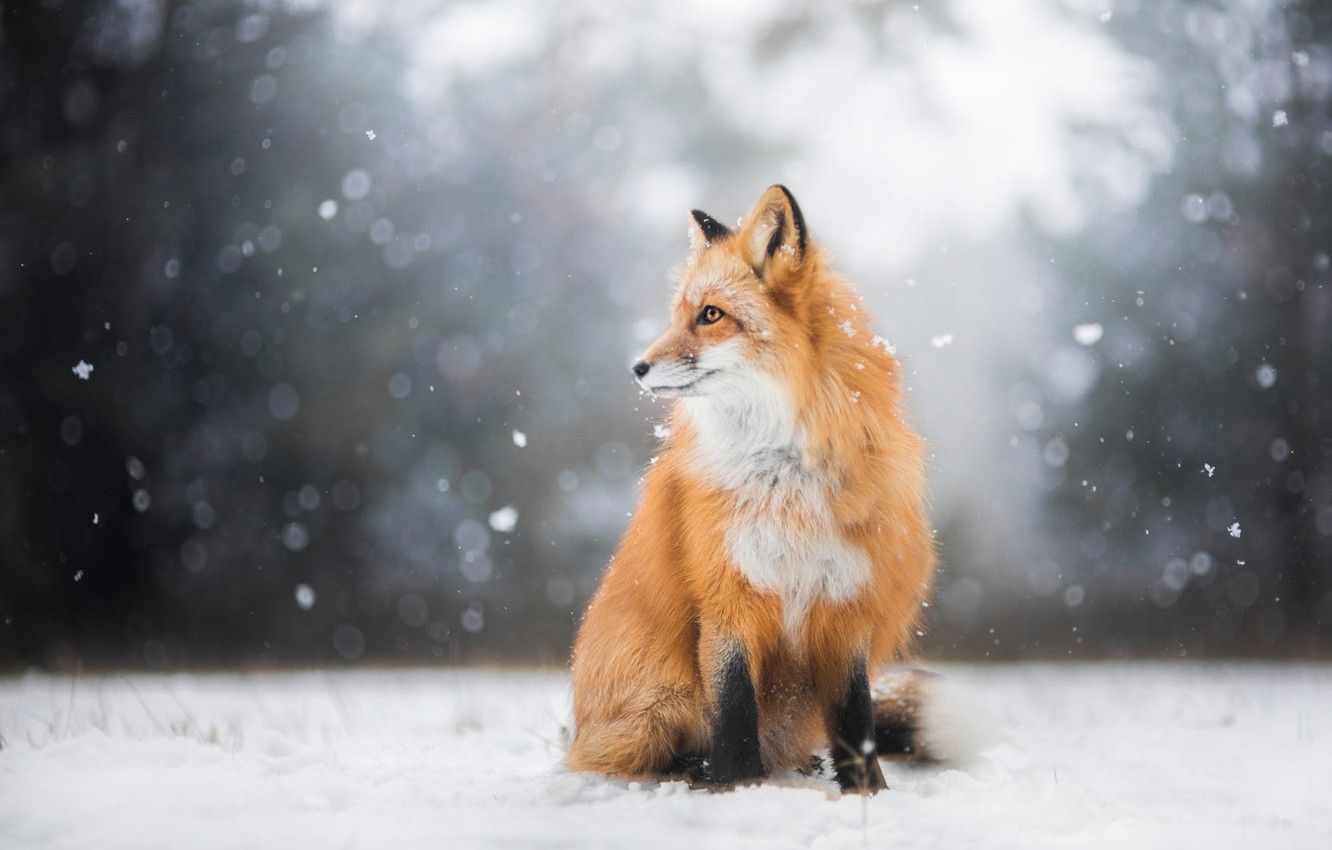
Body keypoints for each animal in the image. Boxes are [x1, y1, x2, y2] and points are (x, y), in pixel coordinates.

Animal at [572, 185, 948, 794]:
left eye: (711, 314)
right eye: (680, 314)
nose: (637, 367)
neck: (784, 478)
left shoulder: (844, 604)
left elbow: (857, 716)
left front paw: (866, 791)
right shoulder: (726, 596)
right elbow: (734, 710)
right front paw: (739, 788)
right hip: (656, 711)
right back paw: (700, 773)